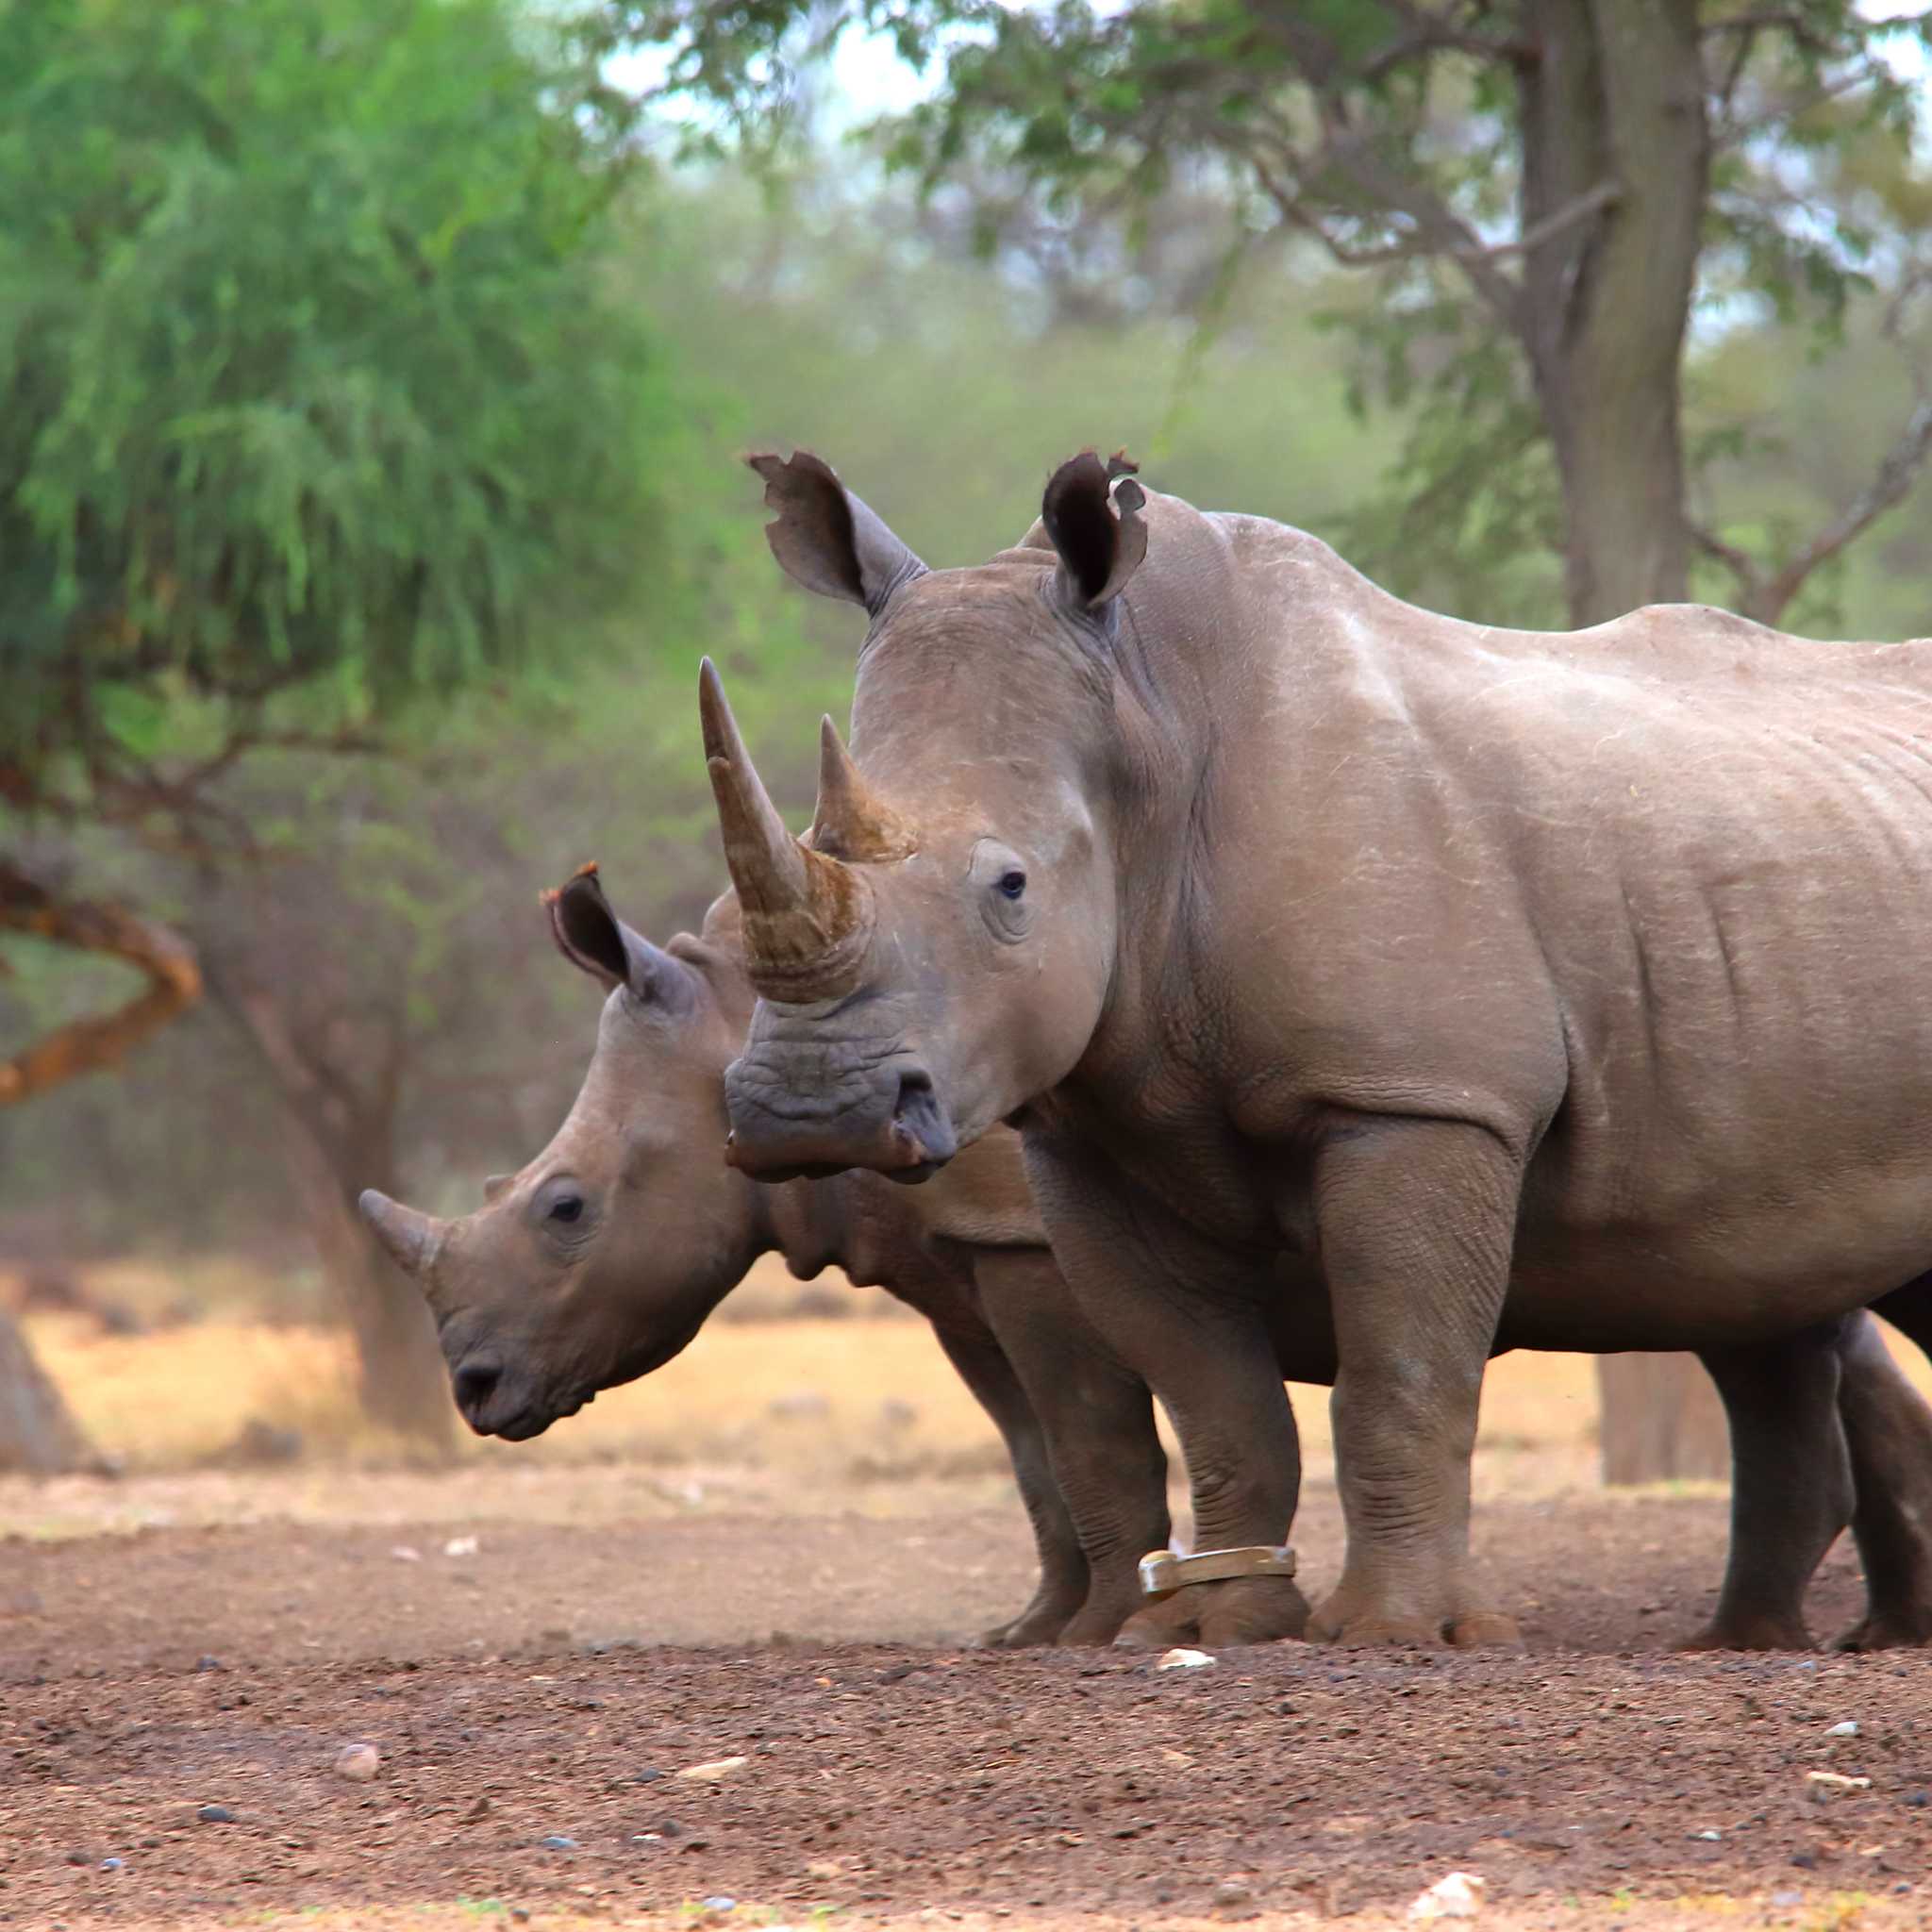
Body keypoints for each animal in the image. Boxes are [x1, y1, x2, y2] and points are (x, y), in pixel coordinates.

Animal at [360, 867, 1932, 1651]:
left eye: (563, 1210)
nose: (477, 1391)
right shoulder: (965, 1256)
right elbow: (1034, 1456)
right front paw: (1036, 1630)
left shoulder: (1021, 1240)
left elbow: (1093, 1436)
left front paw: (1109, 1630)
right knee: (1781, 1313)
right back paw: (1846, 1641)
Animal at [703, 446, 1932, 1648]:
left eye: (1009, 886)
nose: (807, 1110)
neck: (1148, 721)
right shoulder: (1087, 1137)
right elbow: (1213, 1398)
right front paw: (1219, 1622)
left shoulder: (1416, 1094)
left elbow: (1399, 1371)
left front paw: (1394, 1632)